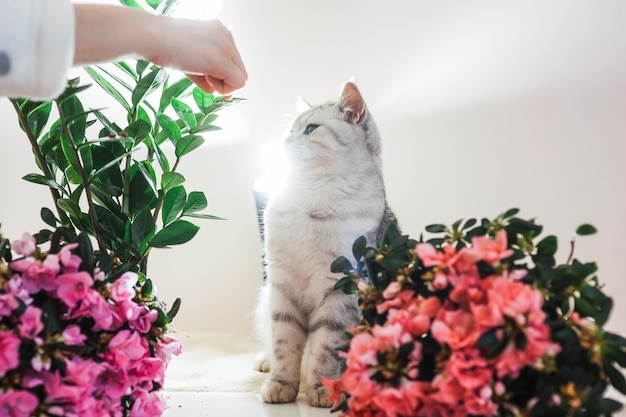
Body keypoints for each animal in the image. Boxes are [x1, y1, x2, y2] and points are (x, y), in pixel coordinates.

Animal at [254, 81, 394, 406]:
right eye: (290, 130)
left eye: (310, 129)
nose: (285, 141)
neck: (311, 195)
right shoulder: (282, 286)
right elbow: (284, 345)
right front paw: (280, 385)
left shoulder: (339, 288)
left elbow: (325, 348)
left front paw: (322, 389)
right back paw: (264, 362)